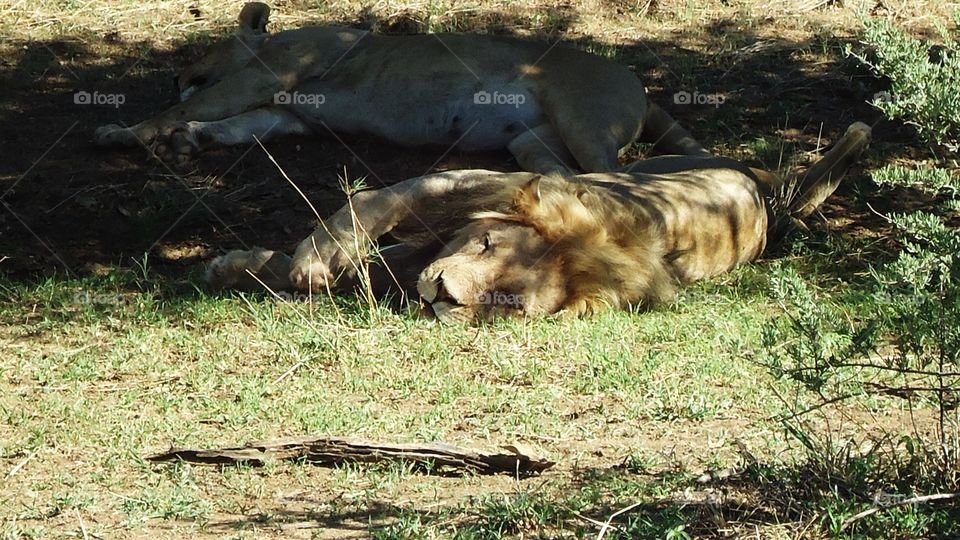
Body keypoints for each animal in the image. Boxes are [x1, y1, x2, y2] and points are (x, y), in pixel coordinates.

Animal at [93, 2, 706, 173]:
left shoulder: (273, 72)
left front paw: (124, 132)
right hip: (530, 141)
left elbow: (199, 104)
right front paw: (190, 139)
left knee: (615, 176)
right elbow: (234, 125)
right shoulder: (286, 113)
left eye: (201, 52)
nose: (174, 75)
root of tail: (641, 84)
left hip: (580, 115)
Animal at [206, 122, 872, 323]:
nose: (440, 295)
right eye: (485, 242)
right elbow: (369, 204)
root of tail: (761, 192)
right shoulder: (457, 189)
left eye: (507, 303)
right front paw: (293, 261)